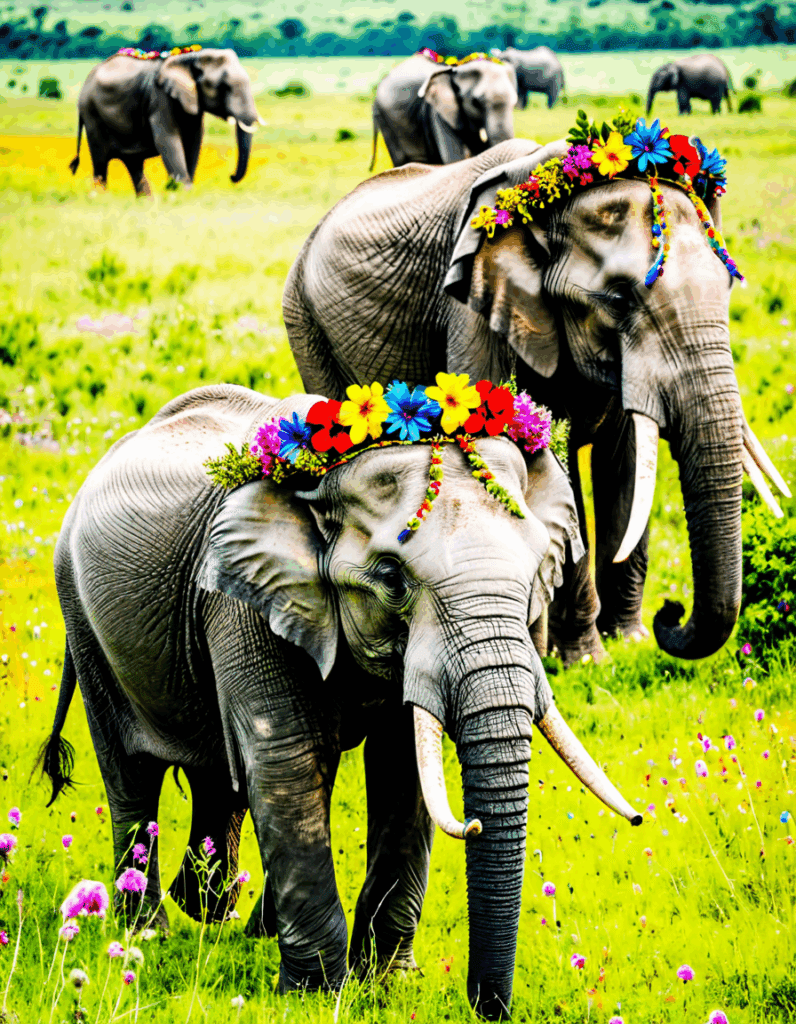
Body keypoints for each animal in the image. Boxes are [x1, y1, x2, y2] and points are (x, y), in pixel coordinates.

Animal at [40, 382, 642, 1020]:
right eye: (393, 581)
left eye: (532, 578)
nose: (488, 1006)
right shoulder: (244, 603)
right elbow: (287, 761)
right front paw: (317, 995)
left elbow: (401, 767)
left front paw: (388, 984)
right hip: (80, 616)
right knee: (131, 775)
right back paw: (144, 932)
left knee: (220, 776)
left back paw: (219, 912)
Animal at [69, 48, 262, 195]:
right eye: (224, 86)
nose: (231, 177)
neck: (191, 58)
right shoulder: (159, 98)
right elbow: (167, 139)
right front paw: (181, 192)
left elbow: (193, 142)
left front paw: (178, 192)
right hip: (92, 114)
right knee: (100, 162)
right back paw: (100, 197)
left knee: (133, 164)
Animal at [283, 137, 790, 667]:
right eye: (618, 299)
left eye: (728, 284)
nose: (669, 613)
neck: (546, 212)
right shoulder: (472, 315)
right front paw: (585, 661)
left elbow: (625, 464)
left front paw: (626, 643)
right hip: (305, 324)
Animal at [369, 53, 517, 170]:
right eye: (475, 102)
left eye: (514, 103)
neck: (454, 70)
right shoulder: (437, 113)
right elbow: (455, 159)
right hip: (387, 120)